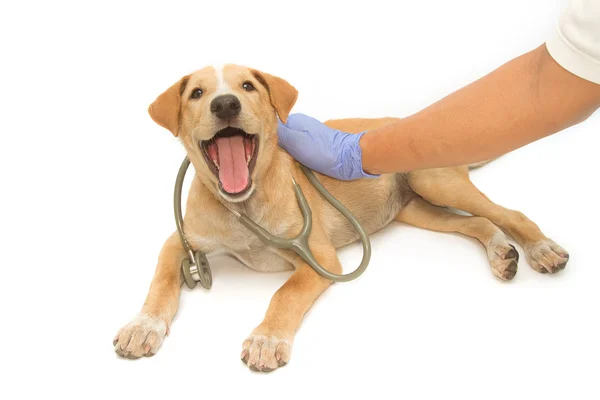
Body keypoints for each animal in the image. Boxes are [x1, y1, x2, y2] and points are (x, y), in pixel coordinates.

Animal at [115, 63, 568, 372]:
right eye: (196, 92)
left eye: (247, 86)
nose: (225, 103)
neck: (244, 206)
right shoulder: (179, 241)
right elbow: (161, 281)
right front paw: (143, 325)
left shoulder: (320, 259)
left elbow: (285, 293)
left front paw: (267, 338)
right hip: (418, 209)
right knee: (478, 223)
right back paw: (501, 254)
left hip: (436, 182)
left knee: (508, 213)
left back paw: (541, 249)